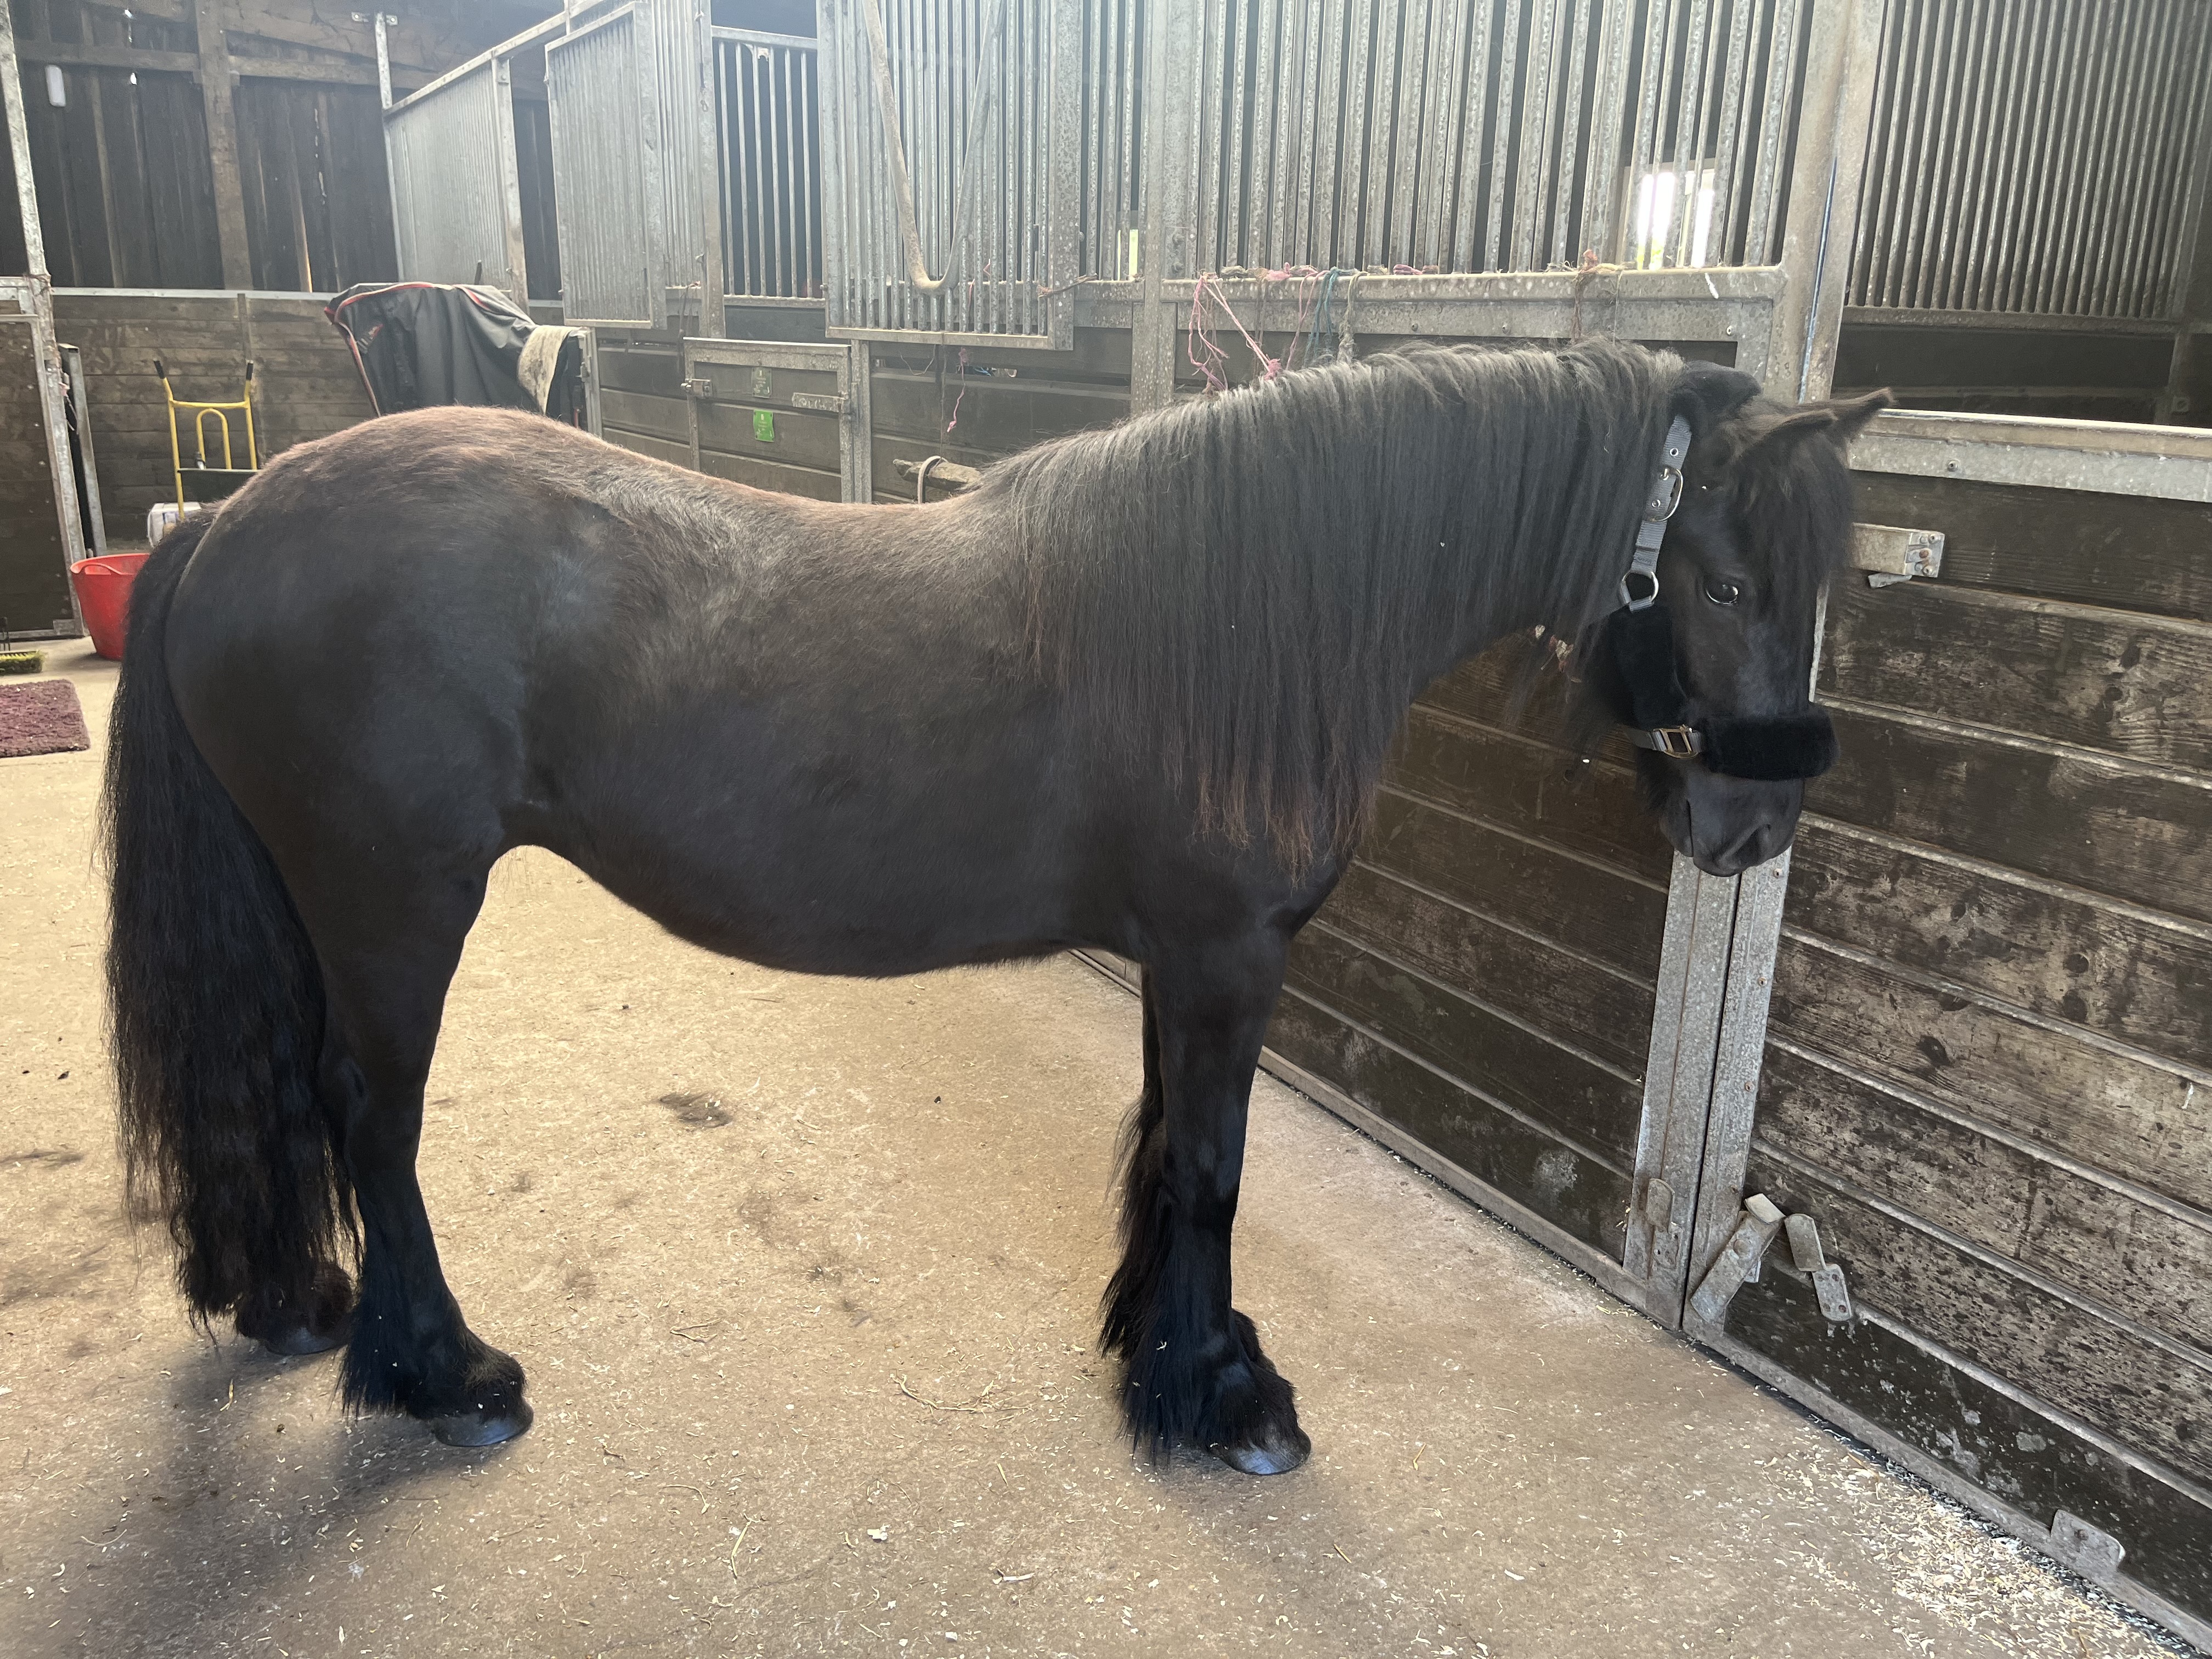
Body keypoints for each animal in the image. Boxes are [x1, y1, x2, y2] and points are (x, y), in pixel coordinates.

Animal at [104, 337, 1881, 1472]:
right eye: (1728, 583)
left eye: (1821, 596)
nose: (1758, 829)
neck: (1258, 614)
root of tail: (237, 514)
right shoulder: (1228, 958)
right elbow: (1215, 1173)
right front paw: (1223, 1400)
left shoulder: (1182, 962)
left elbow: (1167, 1153)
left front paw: (1160, 1357)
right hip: (395, 906)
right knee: (372, 1120)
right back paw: (444, 1379)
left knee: (290, 1101)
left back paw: (296, 1301)